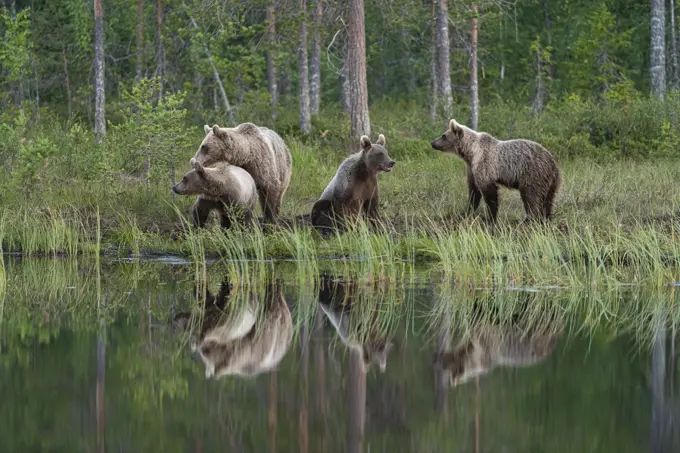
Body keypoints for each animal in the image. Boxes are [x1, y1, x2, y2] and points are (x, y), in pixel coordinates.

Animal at [430, 118, 564, 221]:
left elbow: (489, 192)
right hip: (552, 182)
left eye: (443, 135)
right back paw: (546, 217)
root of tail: (553, 164)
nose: (432, 142)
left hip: (533, 174)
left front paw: (490, 217)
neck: (470, 153)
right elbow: (474, 192)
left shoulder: (485, 164)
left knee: (531, 196)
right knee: (549, 200)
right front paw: (466, 212)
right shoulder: (471, 169)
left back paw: (529, 218)